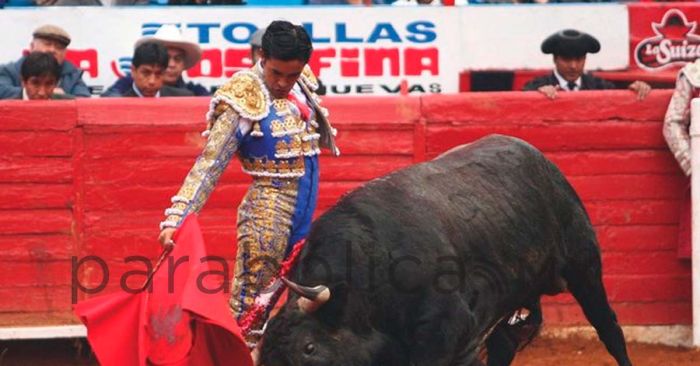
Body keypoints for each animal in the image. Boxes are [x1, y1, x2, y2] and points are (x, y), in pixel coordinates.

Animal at [262, 135, 636, 366]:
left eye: (309, 348)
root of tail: (542, 160)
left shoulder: (446, 329)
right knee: (504, 345)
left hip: (584, 267)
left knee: (609, 327)